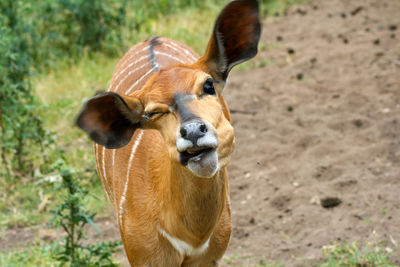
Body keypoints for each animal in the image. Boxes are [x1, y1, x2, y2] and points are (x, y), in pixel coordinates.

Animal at [76, 0, 260, 266]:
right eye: (153, 113)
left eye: (208, 85)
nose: (192, 130)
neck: (192, 236)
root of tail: (152, 39)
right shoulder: (145, 256)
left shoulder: (209, 257)